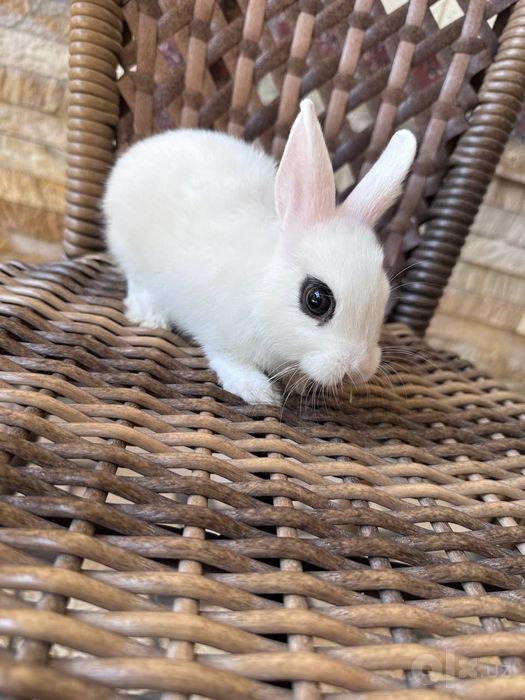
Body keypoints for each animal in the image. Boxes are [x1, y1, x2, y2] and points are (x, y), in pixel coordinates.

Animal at [103, 99, 417, 406]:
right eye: (316, 300)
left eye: (384, 295)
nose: (357, 369)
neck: (261, 290)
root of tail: (139, 151)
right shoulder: (218, 333)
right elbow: (228, 360)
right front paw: (257, 391)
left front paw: (298, 382)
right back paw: (150, 315)